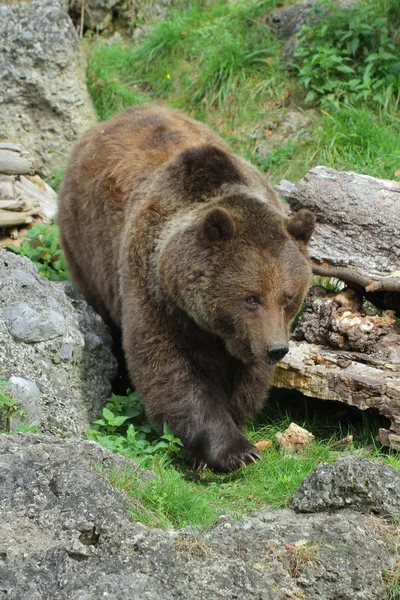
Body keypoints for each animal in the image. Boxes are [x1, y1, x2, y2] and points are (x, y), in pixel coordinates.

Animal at [58, 106, 316, 474]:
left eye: (288, 297)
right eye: (250, 298)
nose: (276, 349)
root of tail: (112, 119)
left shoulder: (248, 336)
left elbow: (245, 378)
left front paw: (237, 424)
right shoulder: (155, 291)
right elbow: (171, 369)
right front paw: (233, 451)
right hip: (87, 245)